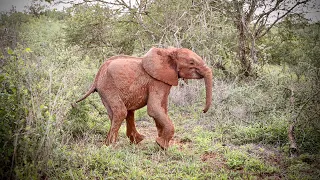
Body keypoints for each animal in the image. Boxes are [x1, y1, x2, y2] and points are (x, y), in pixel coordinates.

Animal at [73, 46, 212, 149]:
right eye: (191, 62)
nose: (203, 110)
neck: (167, 52)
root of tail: (97, 74)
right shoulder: (156, 81)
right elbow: (154, 108)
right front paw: (161, 145)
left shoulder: (164, 81)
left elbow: (162, 108)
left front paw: (161, 143)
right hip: (108, 87)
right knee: (121, 112)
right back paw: (112, 146)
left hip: (105, 89)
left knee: (125, 112)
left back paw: (128, 141)